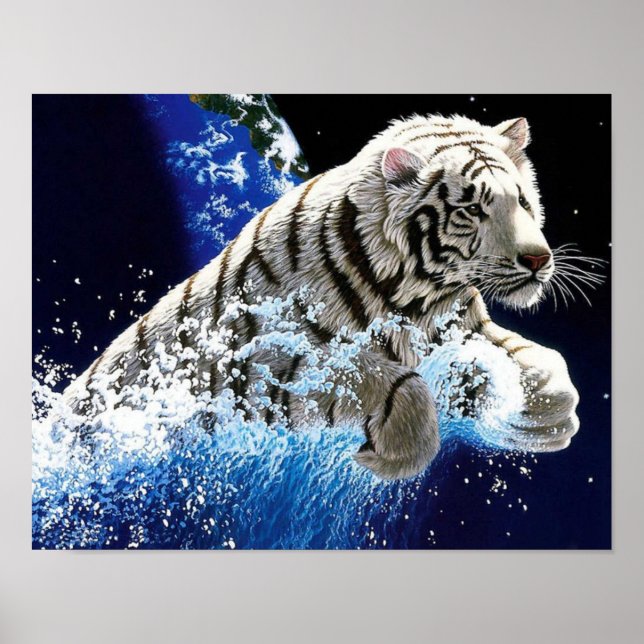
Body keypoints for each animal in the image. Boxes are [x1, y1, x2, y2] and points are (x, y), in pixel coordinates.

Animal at [63, 114, 580, 480]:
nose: (538, 259)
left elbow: (542, 360)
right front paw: (388, 456)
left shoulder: (463, 326)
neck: (420, 295)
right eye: (472, 209)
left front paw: (546, 414)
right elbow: (392, 381)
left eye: (523, 201)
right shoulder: (265, 368)